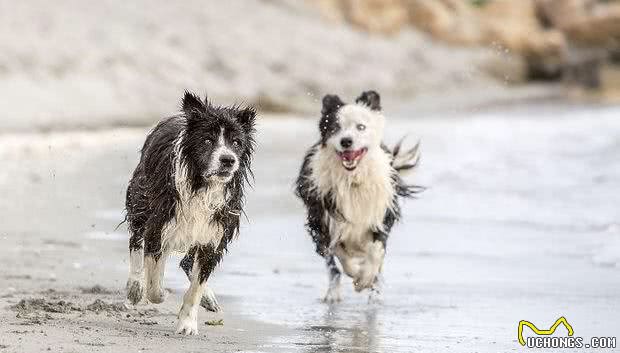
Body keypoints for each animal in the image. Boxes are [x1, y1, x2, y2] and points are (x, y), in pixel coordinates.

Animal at [124, 91, 256, 332]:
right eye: (207, 140)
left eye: (236, 142)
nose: (228, 160)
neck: (202, 185)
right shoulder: (160, 224)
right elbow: (154, 280)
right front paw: (158, 293)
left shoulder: (214, 233)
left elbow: (196, 286)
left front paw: (187, 323)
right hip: (141, 199)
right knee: (136, 241)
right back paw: (135, 288)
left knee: (187, 264)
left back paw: (208, 298)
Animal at [296, 91, 422, 302]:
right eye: (335, 127)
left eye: (361, 127)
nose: (346, 141)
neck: (353, 180)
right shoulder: (323, 219)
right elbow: (338, 253)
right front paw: (357, 275)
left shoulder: (381, 214)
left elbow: (376, 251)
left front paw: (366, 278)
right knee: (333, 267)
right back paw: (334, 293)